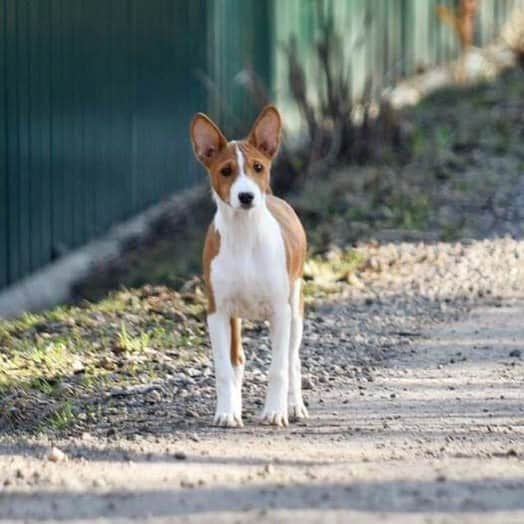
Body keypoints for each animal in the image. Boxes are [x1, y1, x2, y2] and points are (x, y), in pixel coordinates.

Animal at [191, 105, 308, 426]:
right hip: (235, 318)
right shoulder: (217, 313)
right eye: (226, 171)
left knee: (292, 360)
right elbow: (224, 370)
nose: (246, 196)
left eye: (258, 167)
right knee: (238, 361)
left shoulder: (280, 312)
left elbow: (278, 369)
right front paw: (226, 412)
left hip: (295, 308)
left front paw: (275, 412)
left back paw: (295, 406)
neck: (244, 236)